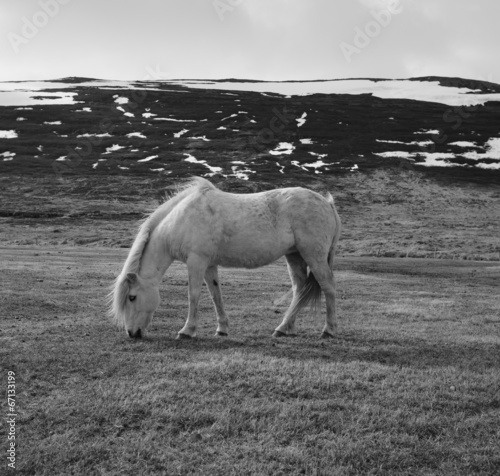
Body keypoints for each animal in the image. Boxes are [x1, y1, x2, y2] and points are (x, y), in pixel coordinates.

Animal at [109, 178, 342, 338]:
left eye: (132, 297)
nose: (132, 333)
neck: (181, 220)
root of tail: (327, 203)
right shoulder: (209, 265)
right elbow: (215, 295)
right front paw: (222, 328)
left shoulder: (196, 262)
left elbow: (193, 295)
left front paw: (187, 330)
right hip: (294, 256)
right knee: (300, 289)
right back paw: (284, 328)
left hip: (314, 256)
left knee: (328, 287)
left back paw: (328, 330)